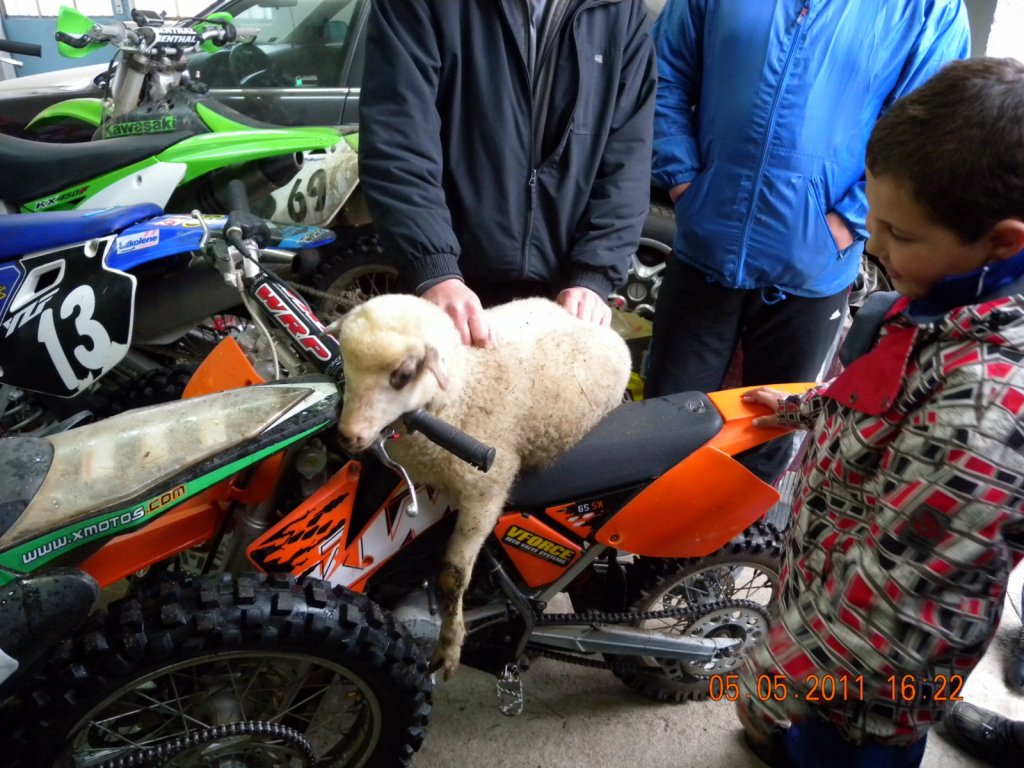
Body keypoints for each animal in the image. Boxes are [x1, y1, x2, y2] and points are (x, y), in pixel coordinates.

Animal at [336, 294, 631, 678]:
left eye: (403, 375)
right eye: (345, 363)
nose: (348, 436)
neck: (464, 383)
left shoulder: (487, 488)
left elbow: (453, 575)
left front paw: (450, 646)